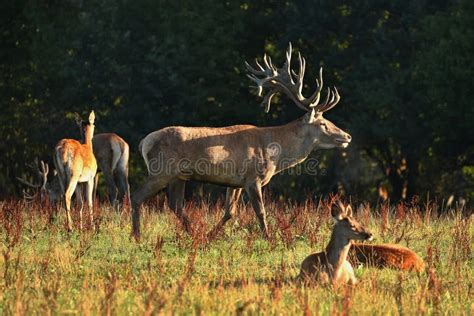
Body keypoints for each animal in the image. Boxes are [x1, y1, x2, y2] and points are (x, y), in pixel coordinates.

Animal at [131, 42, 352, 239]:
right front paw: (269, 239)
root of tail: (143, 142)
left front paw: (211, 236)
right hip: (162, 169)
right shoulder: (253, 177)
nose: (347, 136)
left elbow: (230, 212)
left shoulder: (236, 181)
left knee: (175, 205)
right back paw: (136, 235)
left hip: (179, 175)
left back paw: (193, 234)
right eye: (323, 123)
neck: (274, 152)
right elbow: (260, 212)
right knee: (137, 196)